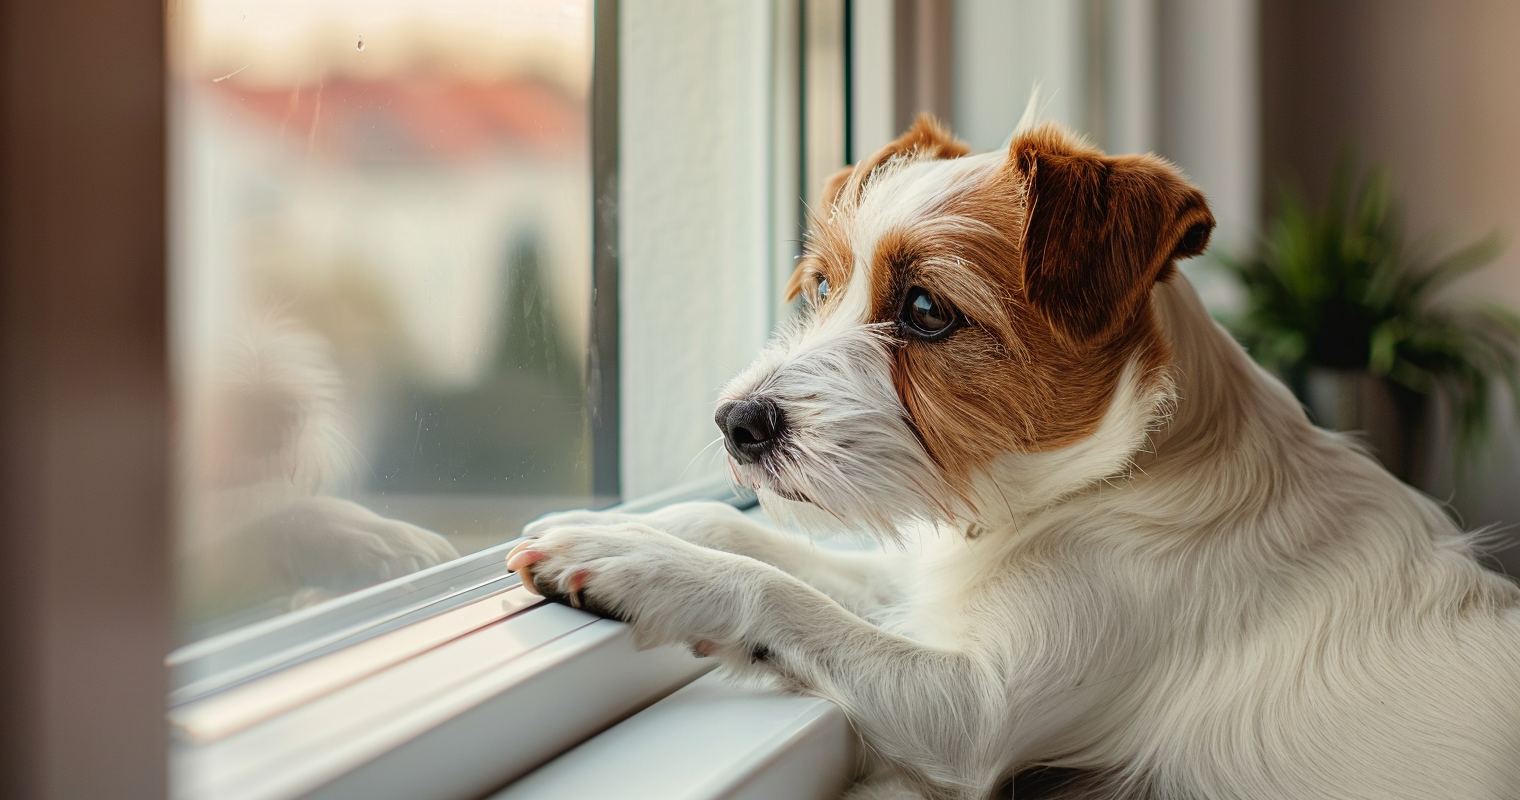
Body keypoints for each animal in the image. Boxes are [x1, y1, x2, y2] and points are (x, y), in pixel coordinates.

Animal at [504, 114, 1513, 800]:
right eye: (823, 286)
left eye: (925, 310)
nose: (734, 423)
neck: (1104, 480)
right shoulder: (930, 586)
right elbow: (766, 543)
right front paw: (634, 523)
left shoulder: (973, 715)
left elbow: (784, 596)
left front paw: (638, 563)